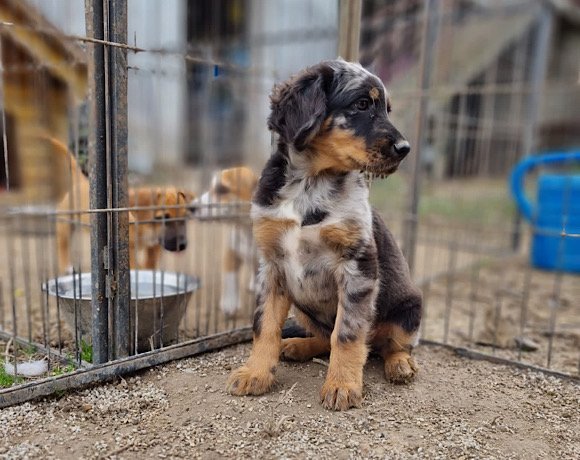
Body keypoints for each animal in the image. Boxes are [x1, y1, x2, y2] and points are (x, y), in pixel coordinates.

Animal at [50, 137, 194, 272]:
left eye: (185, 217)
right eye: (163, 218)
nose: (182, 245)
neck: (146, 228)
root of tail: (81, 182)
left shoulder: (154, 247)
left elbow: (149, 265)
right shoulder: (127, 250)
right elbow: (136, 266)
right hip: (65, 226)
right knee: (62, 245)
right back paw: (66, 266)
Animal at [190, 166, 259, 316]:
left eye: (221, 189)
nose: (190, 207)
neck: (247, 231)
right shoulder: (230, 255)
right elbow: (230, 280)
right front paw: (229, 304)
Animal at [226, 59, 422, 411]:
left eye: (387, 109)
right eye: (362, 104)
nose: (405, 149)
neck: (310, 183)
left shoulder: (357, 266)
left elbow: (346, 333)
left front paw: (342, 385)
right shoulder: (271, 266)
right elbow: (265, 326)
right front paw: (255, 373)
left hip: (410, 310)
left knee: (390, 344)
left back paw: (400, 364)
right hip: (302, 308)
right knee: (323, 337)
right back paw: (297, 346)